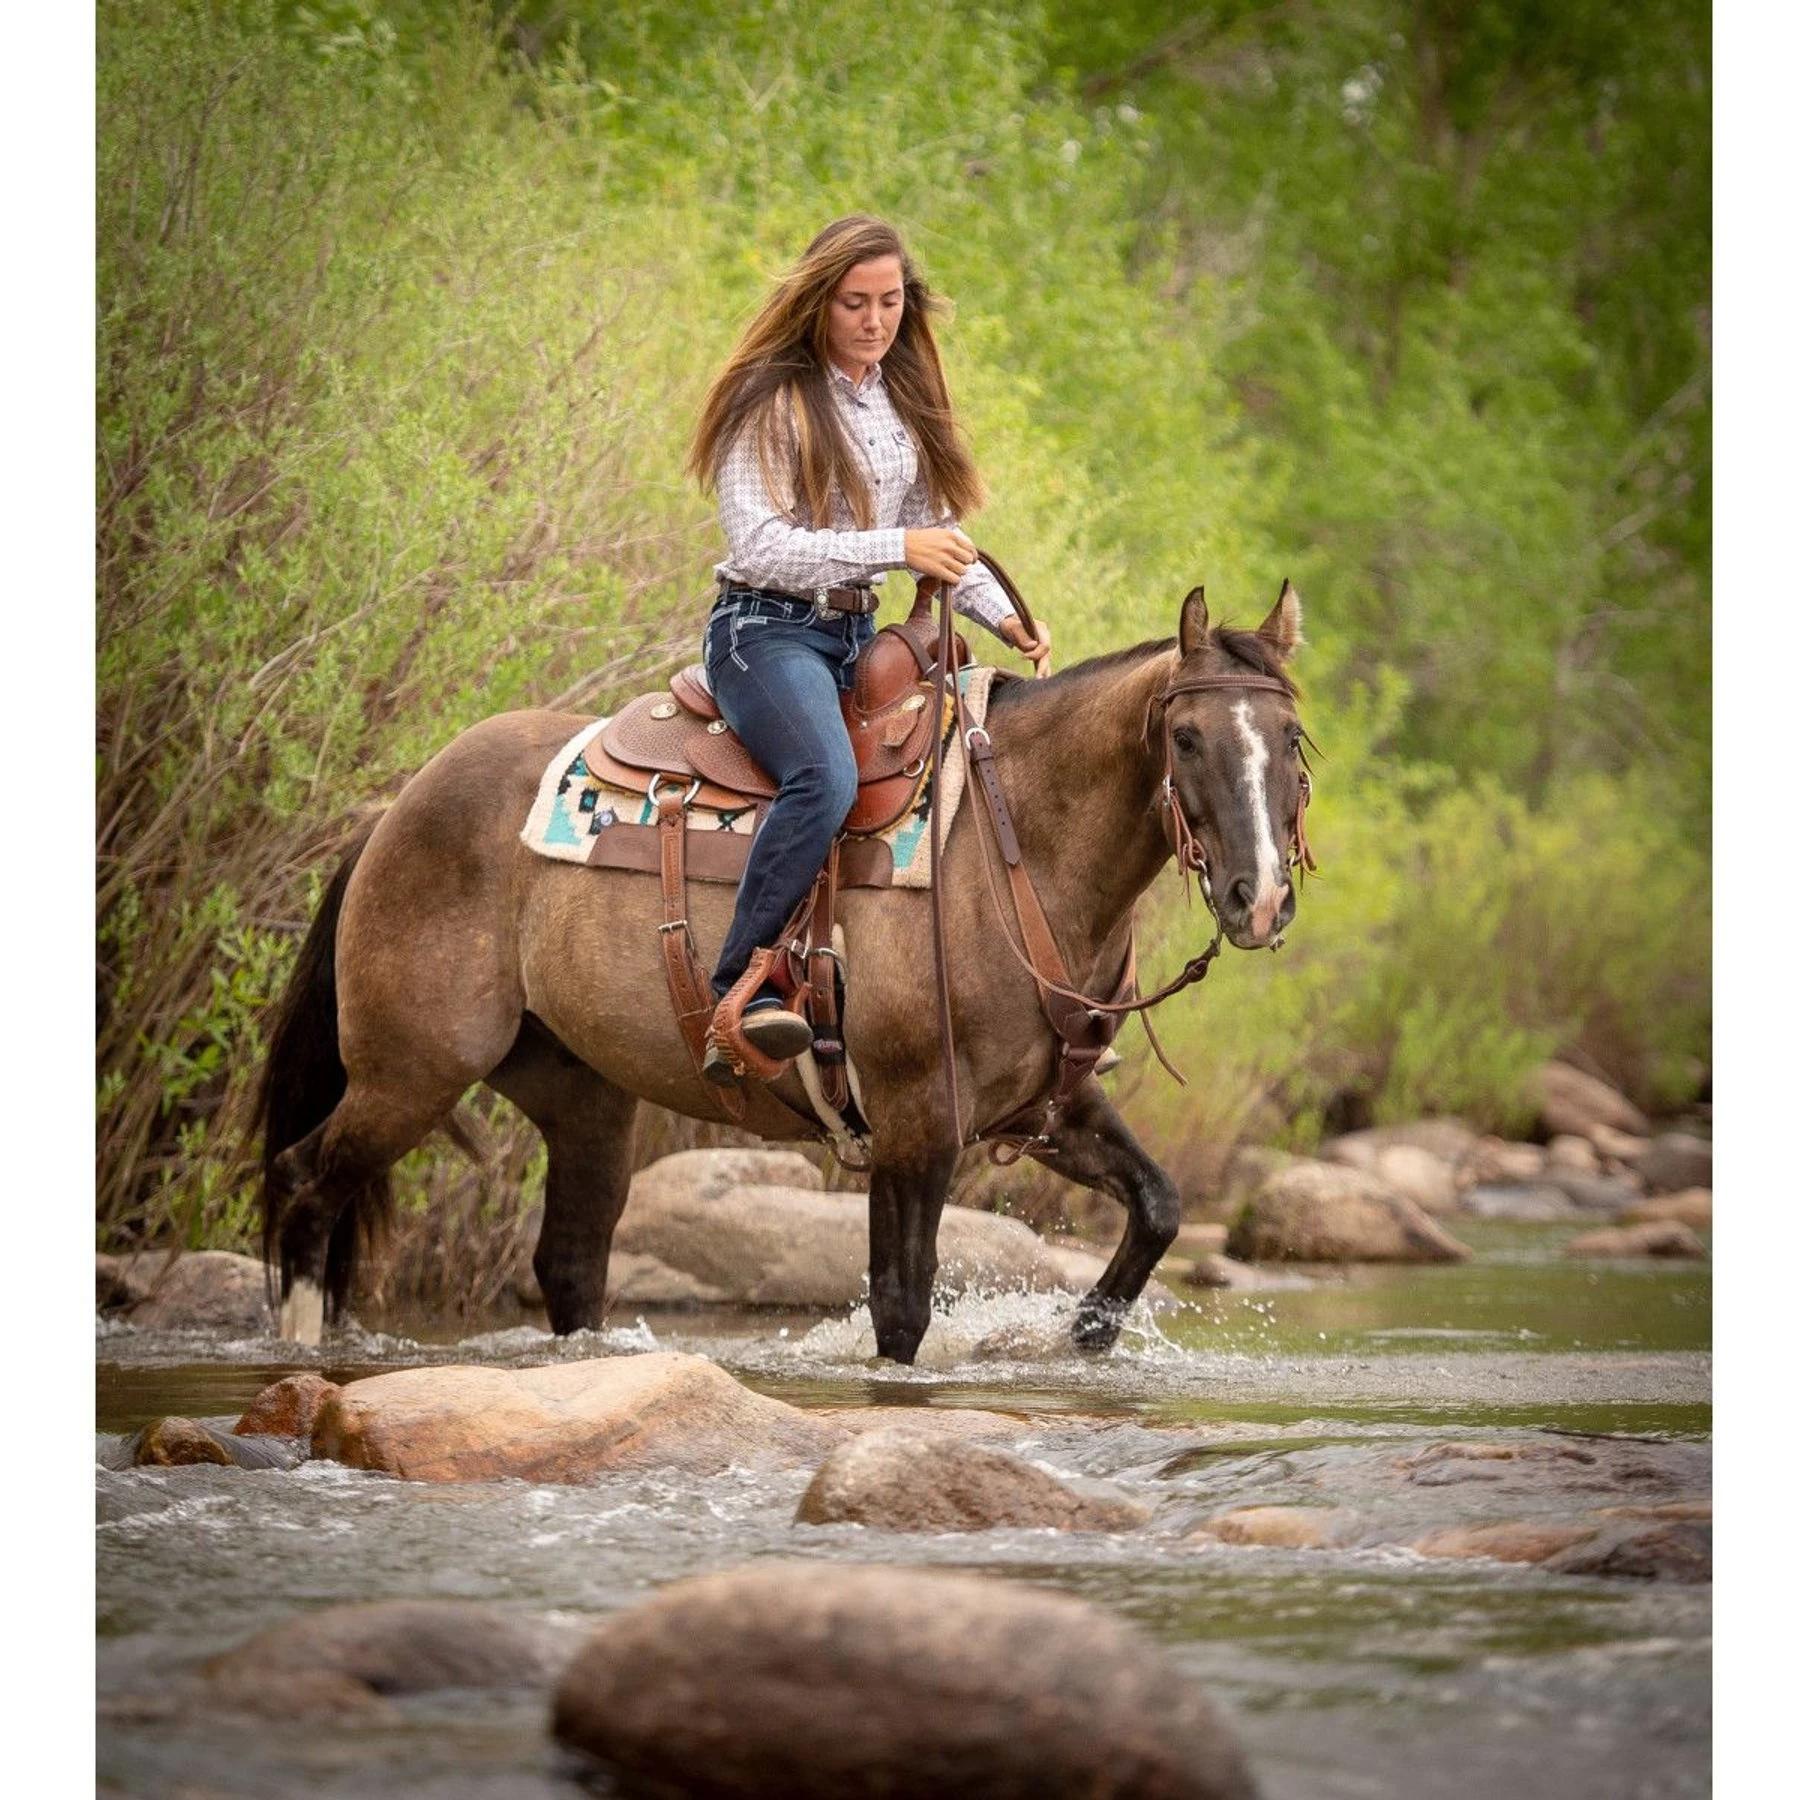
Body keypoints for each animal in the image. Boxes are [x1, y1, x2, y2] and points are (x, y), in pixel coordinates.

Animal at [255, 581, 1311, 1363]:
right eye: (1187, 739)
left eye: (1291, 741)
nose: (1258, 899)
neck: (1011, 850)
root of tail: (397, 807)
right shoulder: (917, 1120)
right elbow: (900, 1307)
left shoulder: (1045, 1109)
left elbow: (1161, 1207)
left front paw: (1085, 1330)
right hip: (412, 1071)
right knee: (306, 1187)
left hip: (580, 1094)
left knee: (569, 1263)